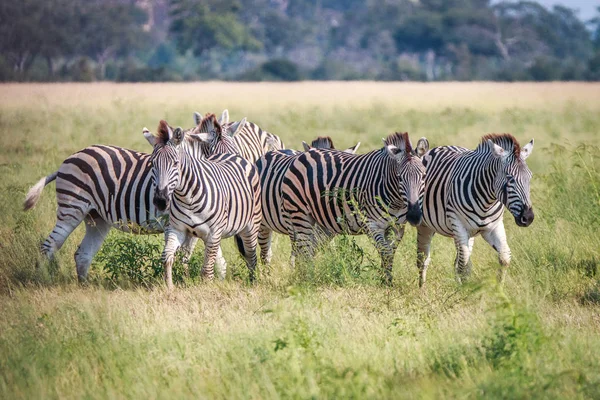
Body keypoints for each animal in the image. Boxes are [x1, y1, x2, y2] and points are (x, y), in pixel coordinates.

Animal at [22, 111, 244, 282]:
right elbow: (185, 255)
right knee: (49, 246)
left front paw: (216, 282)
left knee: (82, 254)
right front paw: (184, 280)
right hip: (71, 209)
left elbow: (217, 258)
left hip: (96, 218)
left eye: (236, 151)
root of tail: (71, 158)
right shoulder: (176, 223)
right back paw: (41, 281)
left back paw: (84, 287)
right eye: (217, 155)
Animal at [146, 119, 262, 288]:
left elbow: (206, 271)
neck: (187, 197)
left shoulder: (213, 234)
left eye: (175, 163)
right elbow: (167, 257)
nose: (160, 201)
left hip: (250, 226)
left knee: (251, 256)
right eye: (152, 163)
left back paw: (253, 283)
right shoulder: (177, 229)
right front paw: (170, 287)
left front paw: (207, 290)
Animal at [280, 133, 426, 282]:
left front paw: (386, 280)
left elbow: (390, 253)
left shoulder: (397, 227)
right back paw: (308, 278)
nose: (414, 216)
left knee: (309, 248)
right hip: (300, 214)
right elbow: (385, 251)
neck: (396, 201)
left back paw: (304, 276)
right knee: (304, 249)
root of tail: (305, 154)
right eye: (399, 178)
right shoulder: (371, 224)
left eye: (424, 176)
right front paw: (386, 282)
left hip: (321, 221)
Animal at [418, 134, 536, 288]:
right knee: (423, 260)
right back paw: (422, 289)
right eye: (510, 178)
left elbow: (504, 257)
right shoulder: (457, 222)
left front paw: (499, 290)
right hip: (426, 225)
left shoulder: (494, 227)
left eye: (530, 177)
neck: (487, 201)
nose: (528, 217)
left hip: (468, 234)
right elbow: (463, 264)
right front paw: (462, 291)